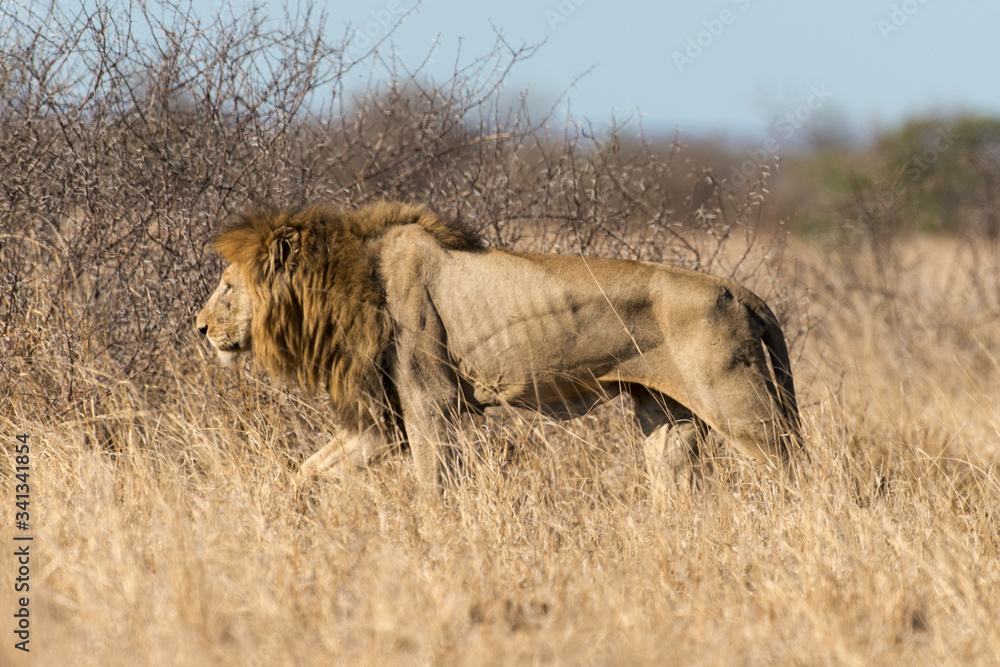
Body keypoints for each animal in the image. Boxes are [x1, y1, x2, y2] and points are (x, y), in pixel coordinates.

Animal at [196, 200, 802, 492]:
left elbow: (433, 483)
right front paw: (289, 511)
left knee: (795, 469)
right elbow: (308, 470)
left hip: (742, 406)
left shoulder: (431, 402)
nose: (198, 328)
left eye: (227, 286)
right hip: (668, 416)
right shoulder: (385, 421)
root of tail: (745, 293)